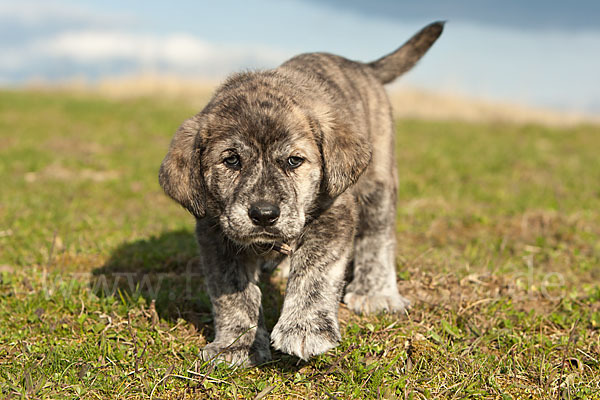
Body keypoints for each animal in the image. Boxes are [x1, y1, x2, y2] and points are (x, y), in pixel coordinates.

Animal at [157, 21, 442, 366]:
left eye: (294, 160)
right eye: (231, 160)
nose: (264, 215)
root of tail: (362, 66)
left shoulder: (334, 215)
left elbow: (313, 273)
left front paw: (304, 328)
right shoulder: (215, 232)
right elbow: (232, 291)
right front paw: (236, 344)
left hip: (378, 181)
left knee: (378, 235)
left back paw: (376, 292)